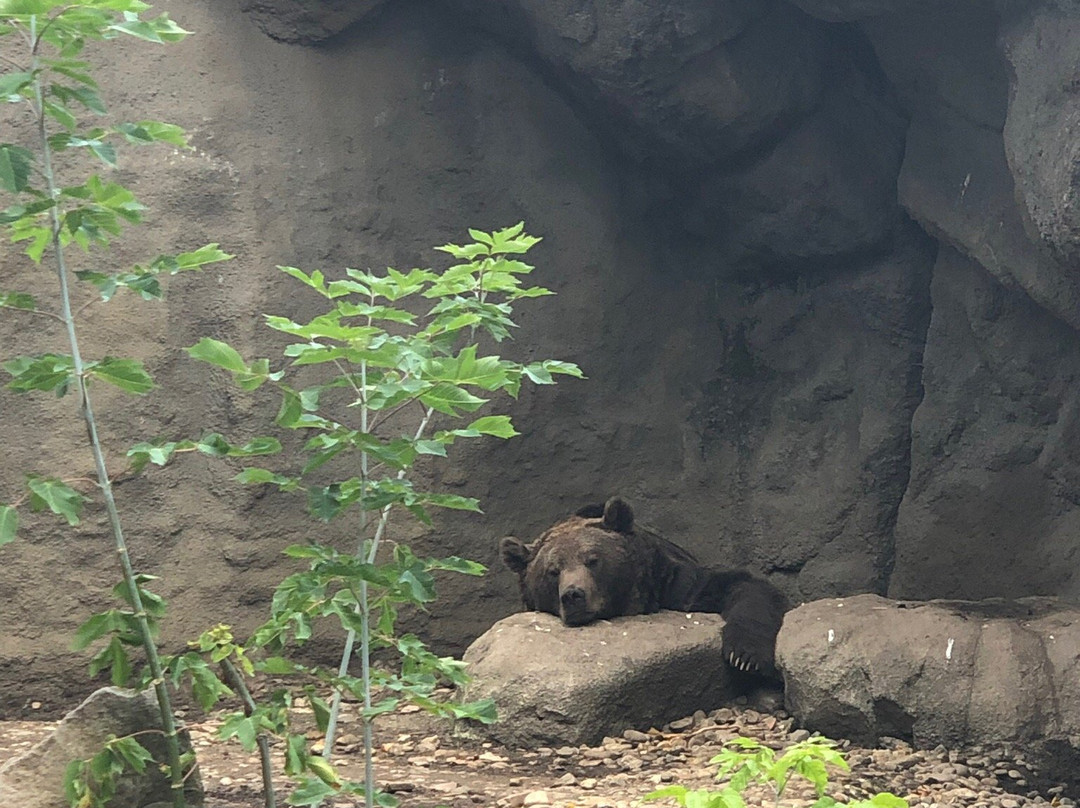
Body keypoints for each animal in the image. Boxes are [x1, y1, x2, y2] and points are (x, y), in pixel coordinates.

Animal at [501, 499, 790, 674]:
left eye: (592, 559)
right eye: (552, 571)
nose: (573, 594)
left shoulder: (677, 585)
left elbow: (744, 587)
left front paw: (743, 656)